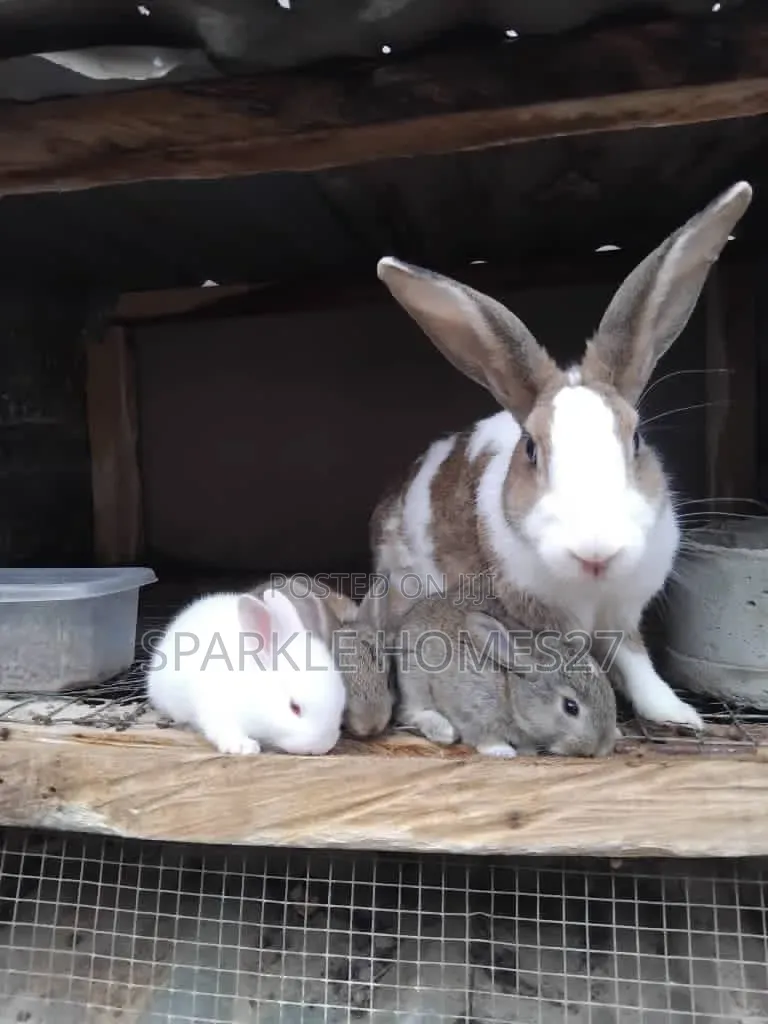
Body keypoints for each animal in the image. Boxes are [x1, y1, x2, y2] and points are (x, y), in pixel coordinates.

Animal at [371, 181, 753, 733]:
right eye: (531, 448)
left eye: (636, 438)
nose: (596, 553)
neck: (592, 591)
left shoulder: (623, 615)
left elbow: (637, 661)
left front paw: (676, 714)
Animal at [390, 585, 618, 757]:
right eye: (571, 707)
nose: (601, 747)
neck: (510, 691)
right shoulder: (472, 711)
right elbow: (482, 736)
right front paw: (502, 751)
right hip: (413, 680)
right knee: (411, 711)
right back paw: (443, 730)